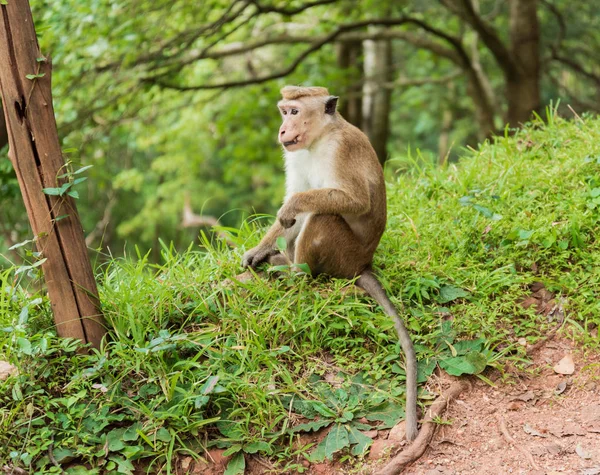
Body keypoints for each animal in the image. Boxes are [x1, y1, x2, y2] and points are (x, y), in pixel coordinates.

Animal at [239, 84, 418, 442]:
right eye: (284, 111)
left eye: (294, 112)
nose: (282, 130)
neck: (320, 138)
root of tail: (363, 265)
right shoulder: (293, 154)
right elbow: (292, 204)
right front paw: (260, 247)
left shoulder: (341, 150)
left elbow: (349, 201)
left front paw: (291, 209)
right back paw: (280, 260)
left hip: (343, 254)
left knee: (321, 215)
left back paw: (295, 277)